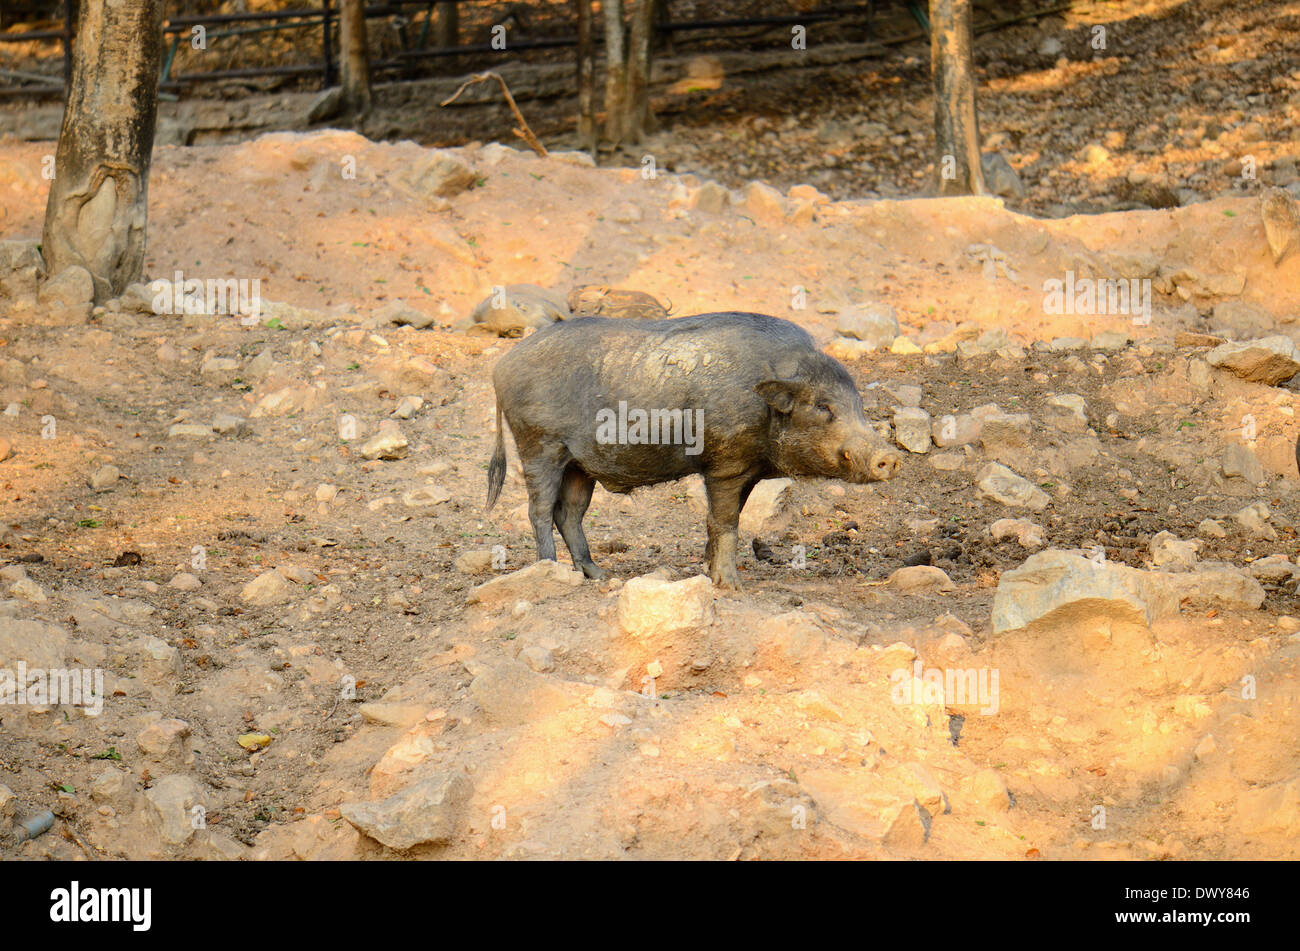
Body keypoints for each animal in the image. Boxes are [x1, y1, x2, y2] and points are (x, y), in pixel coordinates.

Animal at [486, 312, 902, 589]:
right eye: (823, 407)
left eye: (858, 405)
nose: (891, 457)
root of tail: (501, 367)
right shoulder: (725, 465)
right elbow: (727, 522)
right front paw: (731, 586)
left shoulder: (747, 472)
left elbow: (719, 520)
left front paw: (708, 571)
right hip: (539, 445)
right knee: (539, 510)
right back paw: (551, 570)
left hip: (579, 464)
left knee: (569, 513)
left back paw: (599, 575)